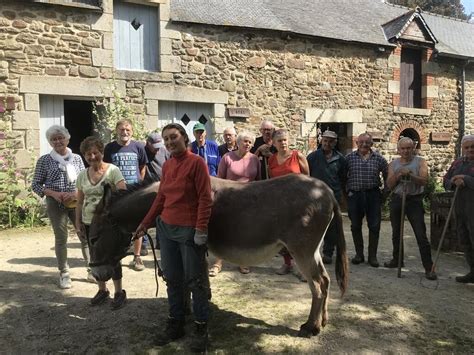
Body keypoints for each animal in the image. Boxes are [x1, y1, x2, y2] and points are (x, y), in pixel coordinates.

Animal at [88, 175, 348, 340]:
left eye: (94, 238)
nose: (96, 274)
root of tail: (327, 191)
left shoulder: (192, 246)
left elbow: (190, 281)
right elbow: (190, 281)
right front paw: (192, 310)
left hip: (301, 249)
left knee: (317, 284)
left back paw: (310, 327)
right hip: (313, 249)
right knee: (325, 281)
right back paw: (322, 322)